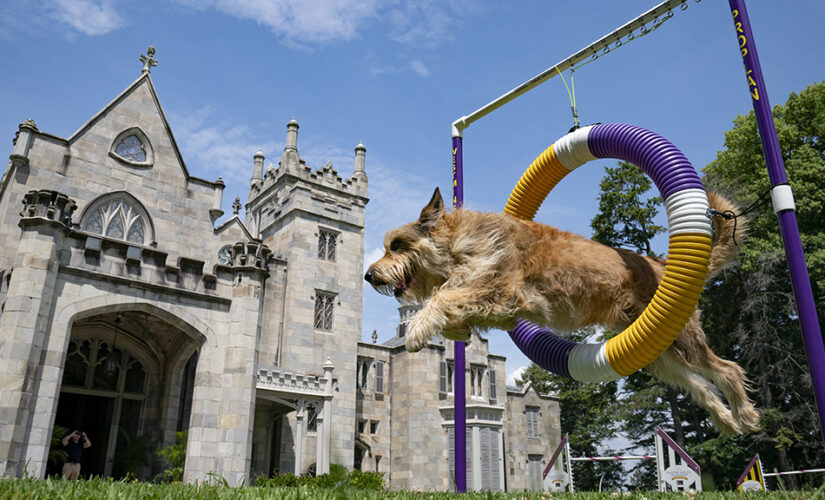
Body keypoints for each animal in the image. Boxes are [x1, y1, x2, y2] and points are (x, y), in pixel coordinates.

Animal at [366, 188, 760, 434]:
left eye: (396, 245)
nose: (369, 275)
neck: (458, 244)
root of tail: (661, 265)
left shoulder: (503, 291)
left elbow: (443, 296)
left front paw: (418, 329)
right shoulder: (501, 307)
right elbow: (454, 301)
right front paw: (454, 330)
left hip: (683, 342)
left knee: (728, 369)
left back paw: (746, 415)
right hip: (662, 355)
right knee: (701, 386)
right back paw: (726, 421)